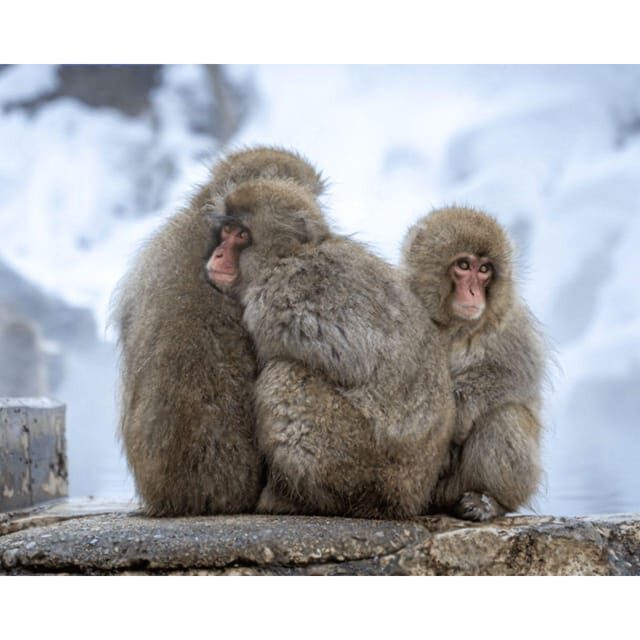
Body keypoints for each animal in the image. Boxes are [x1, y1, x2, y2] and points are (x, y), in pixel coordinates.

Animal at [205, 178, 455, 519]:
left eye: (241, 235)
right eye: (226, 230)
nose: (217, 254)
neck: (285, 257)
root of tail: (410, 497)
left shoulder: (276, 299)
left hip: (358, 461)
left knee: (285, 376)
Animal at [401, 206, 546, 521]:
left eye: (484, 270)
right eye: (464, 265)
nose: (473, 293)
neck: (453, 326)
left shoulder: (511, 322)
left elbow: (515, 374)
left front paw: (458, 415)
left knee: (504, 415)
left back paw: (488, 501)